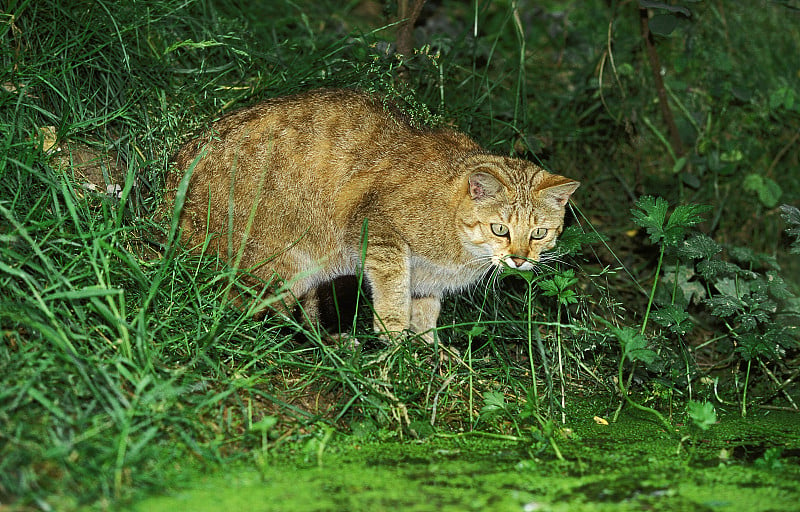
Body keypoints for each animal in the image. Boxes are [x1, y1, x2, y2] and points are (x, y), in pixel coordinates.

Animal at [167, 89, 580, 342]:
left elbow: (426, 312)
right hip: (281, 267)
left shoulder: (427, 282)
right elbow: (394, 294)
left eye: (539, 233)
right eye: (500, 229)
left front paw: (430, 350)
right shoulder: (377, 232)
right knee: (260, 322)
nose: (519, 260)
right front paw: (395, 339)